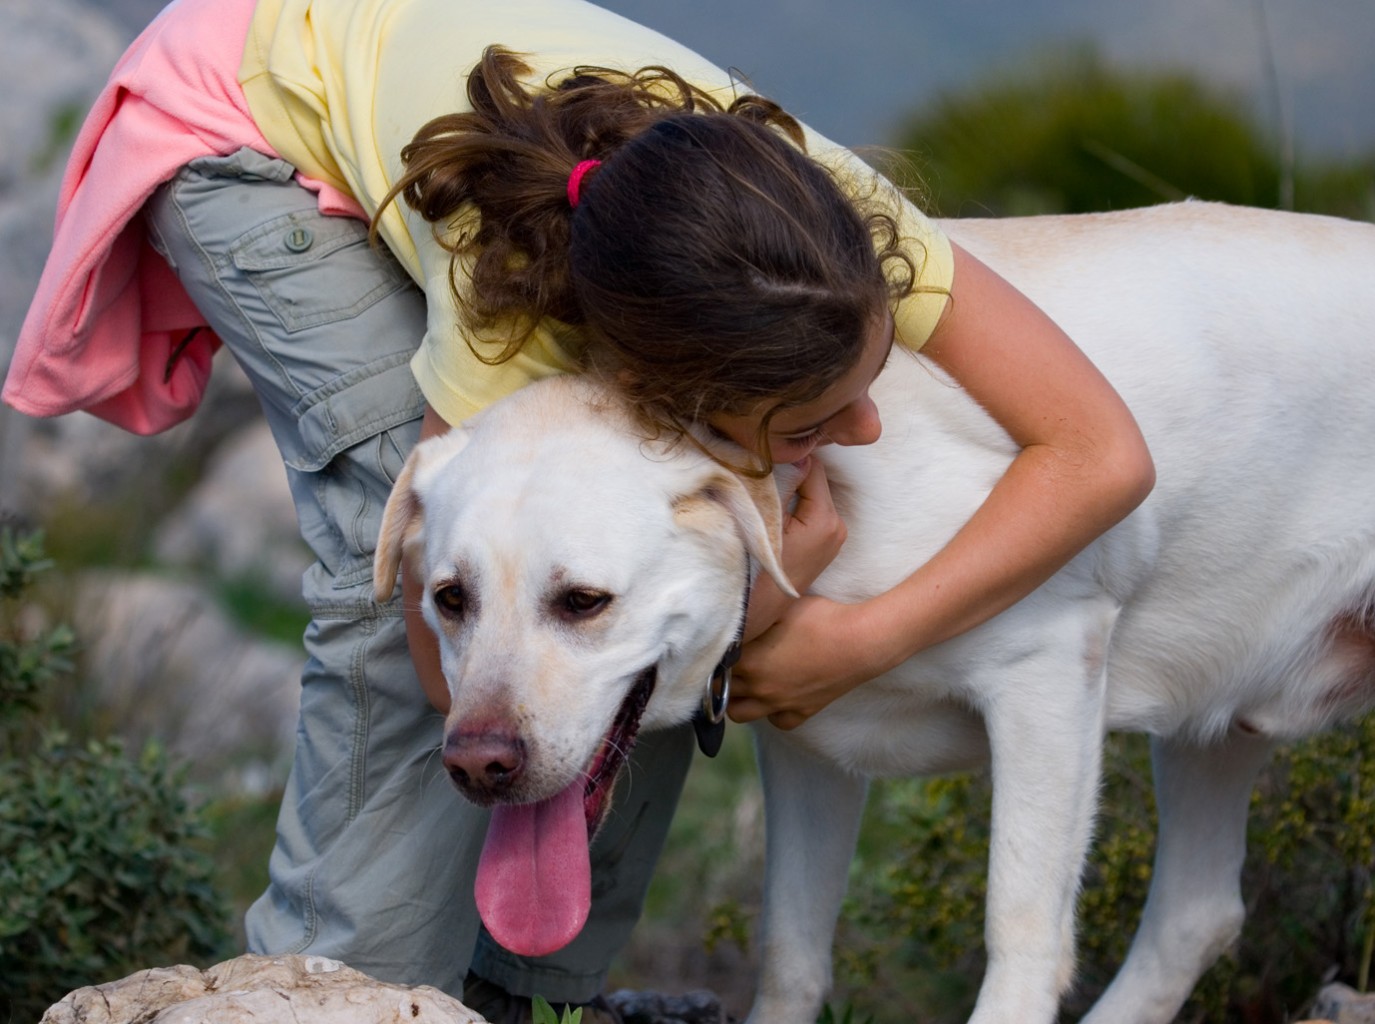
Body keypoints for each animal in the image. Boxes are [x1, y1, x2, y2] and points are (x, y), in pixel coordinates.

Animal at [374, 202, 1375, 1022]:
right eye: (449, 601)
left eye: (584, 602)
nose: (477, 765)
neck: (791, 480)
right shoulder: (806, 752)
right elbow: (791, 955)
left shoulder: (1047, 676)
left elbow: (1019, 941)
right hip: (1217, 726)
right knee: (1194, 919)